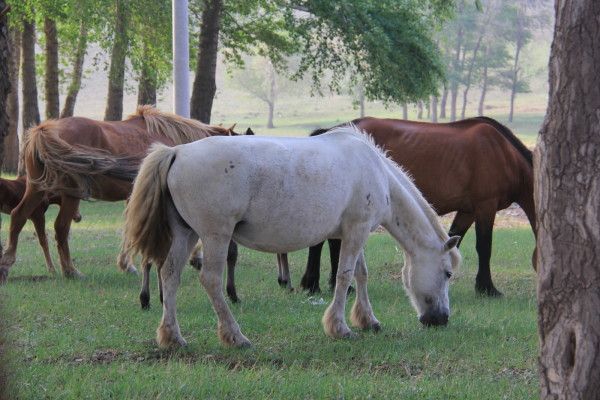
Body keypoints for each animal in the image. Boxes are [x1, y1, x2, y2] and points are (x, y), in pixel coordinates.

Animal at [0, 104, 239, 282]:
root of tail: (46, 130)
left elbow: (129, 227)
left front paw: (127, 264)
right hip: (70, 196)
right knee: (61, 228)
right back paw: (70, 271)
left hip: (37, 190)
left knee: (19, 216)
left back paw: (7, 264)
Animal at [120, 126, 460, 348]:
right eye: (447, 273)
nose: (441, 319)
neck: (377, 172)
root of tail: (177, 152)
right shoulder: (355, 232)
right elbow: (344, 276)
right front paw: (339, 328)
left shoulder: (356, 232)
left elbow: (360, 275)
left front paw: (368, 321)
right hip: (215, 236)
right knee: (211, 280)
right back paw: (236, 336)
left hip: (186, 233)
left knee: (170, 274)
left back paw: (172, 336)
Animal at [294, 116, 536, 296]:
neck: (503, 153)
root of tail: (334, 130)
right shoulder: (485, 206)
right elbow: (484, 247)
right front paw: (487, 288)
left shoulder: (467, 210)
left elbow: (452, 239)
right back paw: (316, 284)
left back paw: (323, 284)